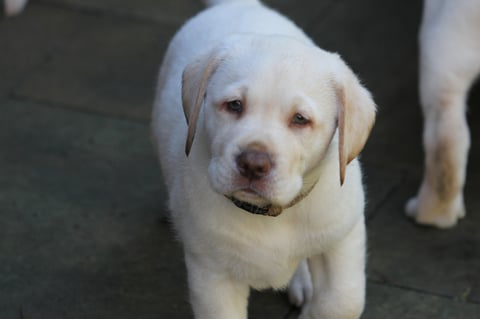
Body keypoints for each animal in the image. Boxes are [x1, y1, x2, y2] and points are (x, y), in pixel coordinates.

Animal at [152, 0, 376, 319]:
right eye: (234, 105)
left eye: (300, 119)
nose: (253, 164)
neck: (269, 213)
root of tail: (240, 5)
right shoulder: (212, 272)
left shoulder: (342, 237)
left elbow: (342, 302)